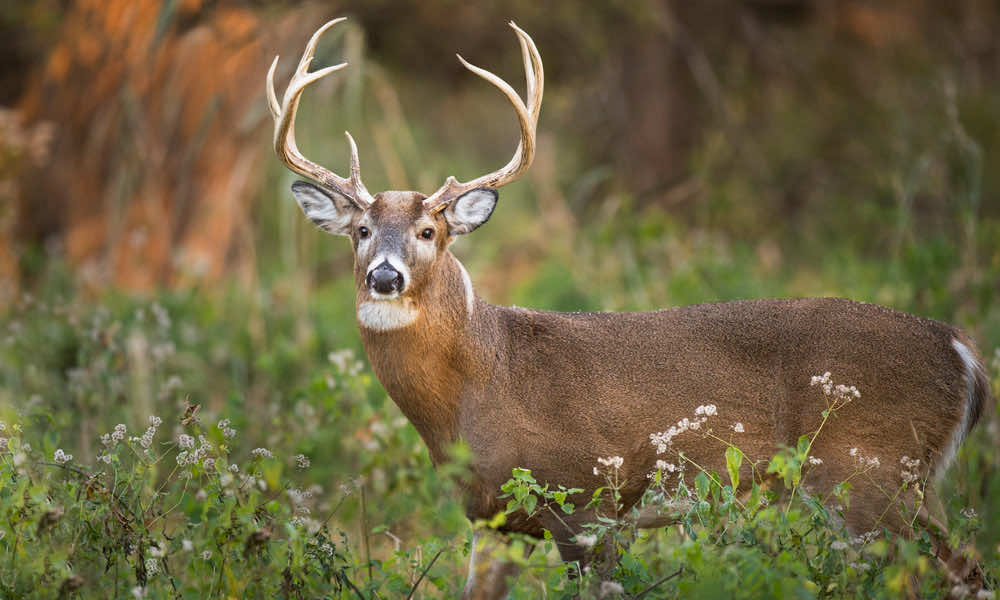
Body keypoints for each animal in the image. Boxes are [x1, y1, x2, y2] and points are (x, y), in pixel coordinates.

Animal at [267, 18, 992, 599]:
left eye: (428, 232)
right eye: (362, 231)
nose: (385, 276)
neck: (483, 380)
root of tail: (963, 353)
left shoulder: (590, 497)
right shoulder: (492, 518)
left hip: (872, 472)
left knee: (956, 572)